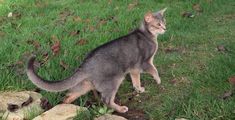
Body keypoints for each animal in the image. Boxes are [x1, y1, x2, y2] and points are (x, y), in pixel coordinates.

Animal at [26, 7, 167, 113]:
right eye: (158, 24)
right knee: (106, 100)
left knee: (68, 95)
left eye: (164, 22)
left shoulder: (134, 68)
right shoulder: (145, 62)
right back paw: (120, 109)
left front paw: (139, 89)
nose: (165, 28)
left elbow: (136, 81)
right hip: (114, 81)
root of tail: (85, 64)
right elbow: (154, 70)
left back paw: (67, 106)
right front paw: (158, 81)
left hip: (85, 85)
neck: (147, 34)